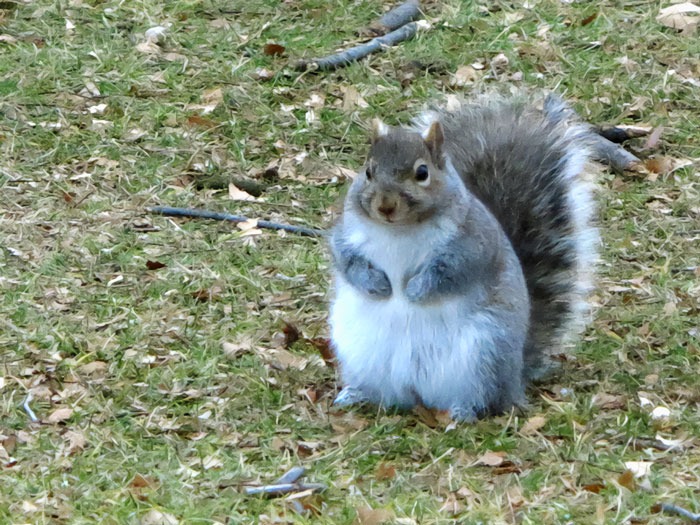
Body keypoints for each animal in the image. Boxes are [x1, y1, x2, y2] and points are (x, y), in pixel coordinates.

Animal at [328, 94, 598, 421]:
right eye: (368, 171)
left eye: (422, 173)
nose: (385, 206)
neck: (399, 229)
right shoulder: (346, 235)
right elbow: (346, 260)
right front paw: (377, 284)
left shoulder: (472, 246)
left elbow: (451, 273)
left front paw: (413, 291)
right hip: (362, 355)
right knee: (383, 392)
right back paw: (355, 394)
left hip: (485, 354)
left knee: (486, 398)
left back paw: (462, 412)